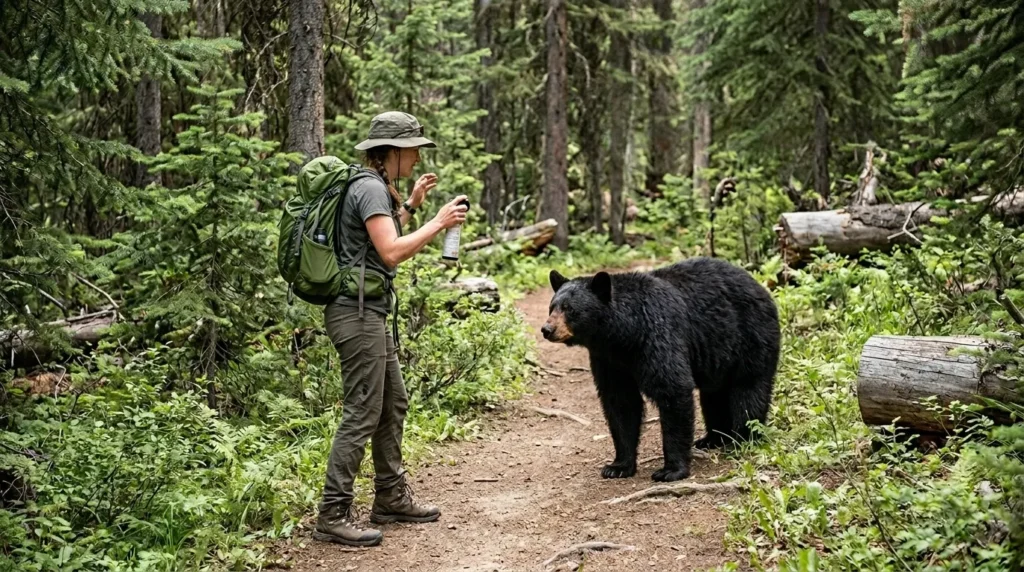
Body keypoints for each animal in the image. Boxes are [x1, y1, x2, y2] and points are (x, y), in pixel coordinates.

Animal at [541, 257, 780, 482]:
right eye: (552, 307)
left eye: (570, 309)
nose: (547, 329)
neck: (623, 336)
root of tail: (760, 286)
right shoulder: (609, 360)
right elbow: (620, 403)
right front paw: (618, 466)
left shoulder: (657, 336)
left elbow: (672, 390)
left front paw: (671, 470)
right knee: (713, 396)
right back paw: (712, 438)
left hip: (751, 337)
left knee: (749, 390)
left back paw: (742, 439)